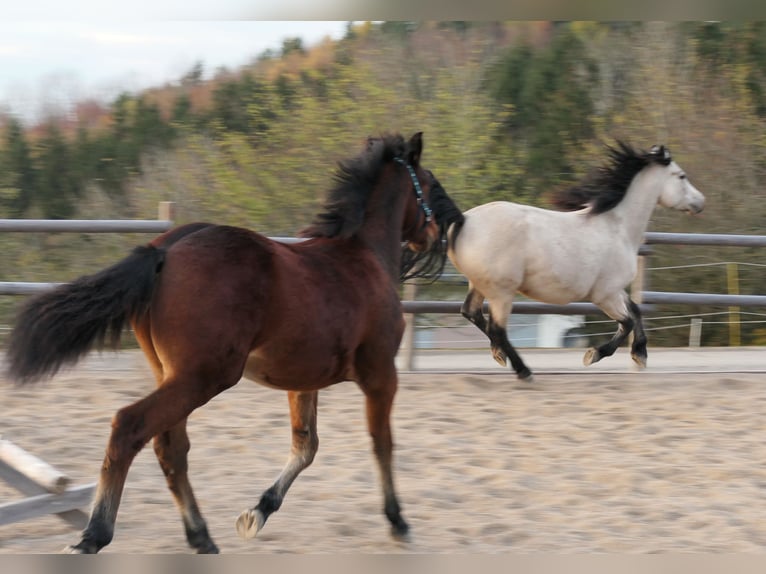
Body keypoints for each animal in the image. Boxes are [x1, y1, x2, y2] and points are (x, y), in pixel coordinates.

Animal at [4, 130, 456, 552]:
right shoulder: (381, 373)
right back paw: (93, 536)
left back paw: (200, 536)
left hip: (174, 374)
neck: (364, 257)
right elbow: (382, 444)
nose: (448, 226)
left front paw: (256, 513)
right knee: (131, 426)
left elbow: (305, 446)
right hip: (205, 376)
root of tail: (166, 249)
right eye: (430, 182)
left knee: (170, 447)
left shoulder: (303, 381)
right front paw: (398, 522)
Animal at [450, 142, 708, 382]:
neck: (618, 227)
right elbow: (626, 322)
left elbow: (635, 311)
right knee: (497, 328)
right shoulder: (604, 295)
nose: (700, 202)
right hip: (502, 291)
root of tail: (464, 220)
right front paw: (593, 354)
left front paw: (640, 354)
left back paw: (500, 354)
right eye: (681, 176)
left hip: (481, 285)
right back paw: (523, 370)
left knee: (472, 313)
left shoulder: (614, 290)